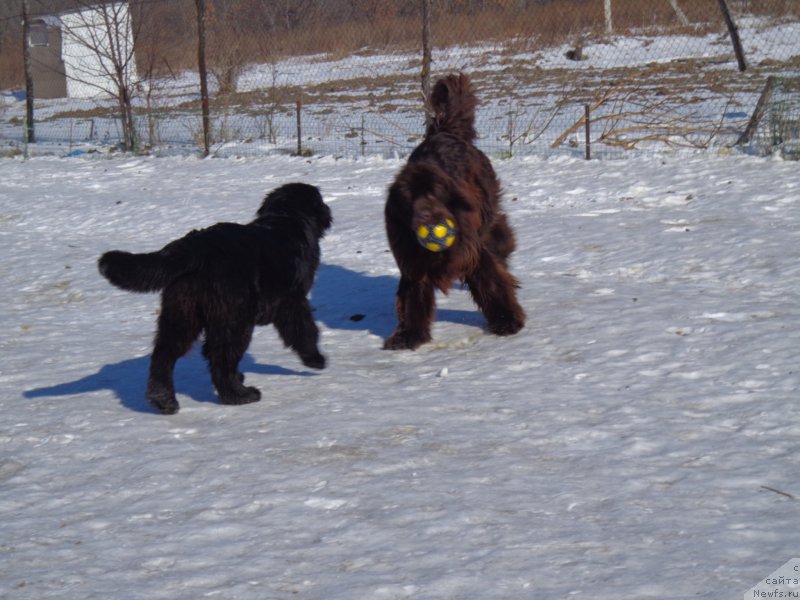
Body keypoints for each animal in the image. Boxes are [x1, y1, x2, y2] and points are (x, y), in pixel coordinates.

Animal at [99, 183, 332, 414]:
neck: (285, 218)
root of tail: (195, 247)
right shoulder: (293, 301)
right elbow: (306, 330)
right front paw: (315, 360)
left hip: (183, 314)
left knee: (163, 356)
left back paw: (163, 401)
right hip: (234, 319)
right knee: (221, 359)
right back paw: (240, 395)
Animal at [382, 72, 524, 350]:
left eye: (435, 192)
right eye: (408, 199)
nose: (425, 217)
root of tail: (444, 130)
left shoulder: (472, 250)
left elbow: (491, 282)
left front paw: (507, 321)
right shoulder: (412, 260)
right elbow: (413, 296)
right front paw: (409, 334)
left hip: (487, 208)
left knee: (498, 234)